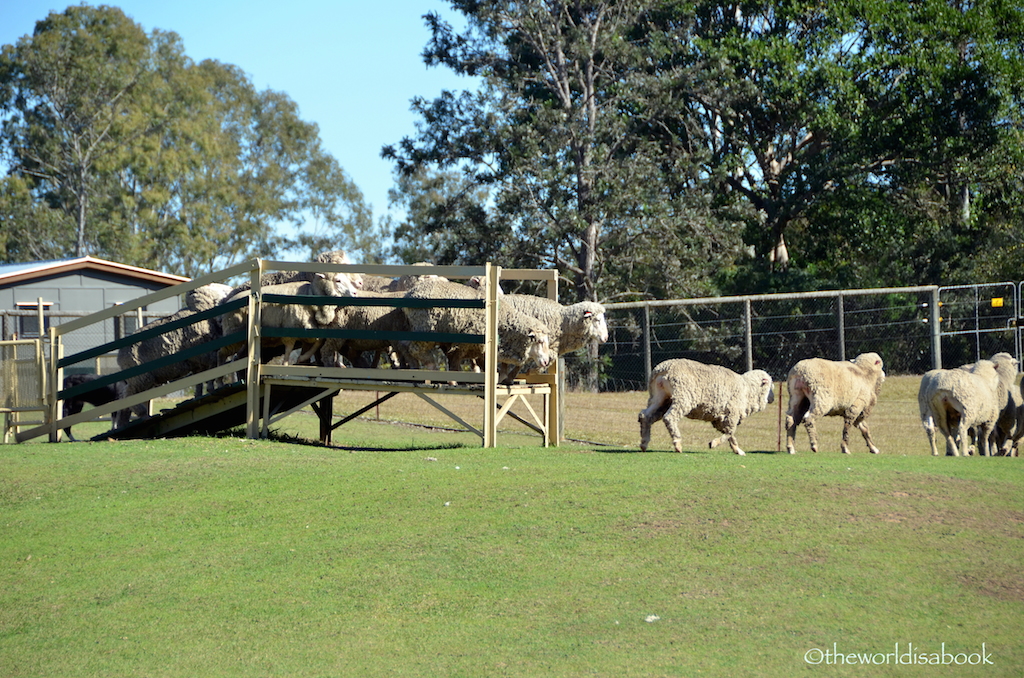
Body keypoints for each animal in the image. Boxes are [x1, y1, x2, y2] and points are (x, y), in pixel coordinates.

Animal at [399, 278, 552, 378]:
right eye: (540, 341)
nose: (546, 362)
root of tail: (410, 293)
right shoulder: (468, 344)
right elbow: (459, 362)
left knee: (404, 344)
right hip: (426, 329)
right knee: (414, 349)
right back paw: (431, 366)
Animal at [634, 360, 770, 456]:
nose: (771, 399)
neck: (746, 389)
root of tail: (662, 370)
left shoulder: (720, 418)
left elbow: (729, 433)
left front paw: (737, 450)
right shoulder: (731, 413)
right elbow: (730, 432)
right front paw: (714, 443)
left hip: (660, 398)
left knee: (645, 416)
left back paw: (644, 443)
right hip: (683, 397)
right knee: (669, 417)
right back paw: (677, 444)